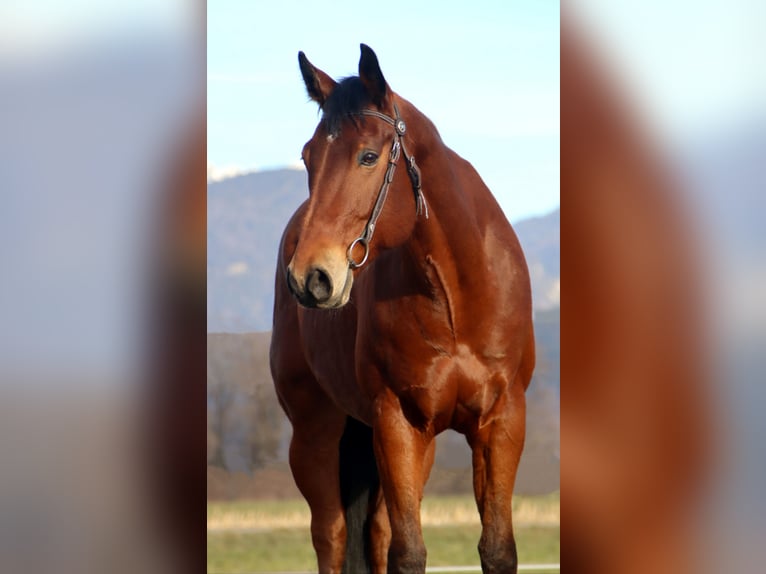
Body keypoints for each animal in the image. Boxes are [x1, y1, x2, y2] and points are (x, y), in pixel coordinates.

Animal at [272, 46, 536, 574]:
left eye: (368, 156)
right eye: (308, 156)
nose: (310, 277)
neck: (458, 299)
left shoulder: (501, 421)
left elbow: (496, 548)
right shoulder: (397, 421)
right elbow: (408, 552)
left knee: (373, 533)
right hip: (314, 436)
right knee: (331, 536)